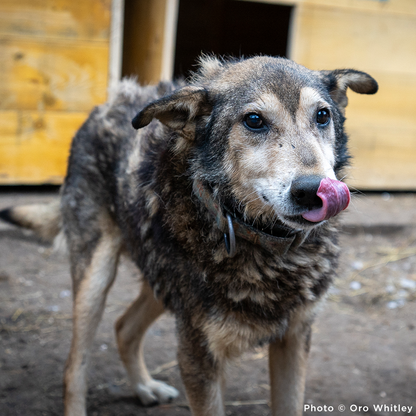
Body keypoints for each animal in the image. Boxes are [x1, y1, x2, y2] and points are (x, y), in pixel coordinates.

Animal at [0, 55, 376, 416]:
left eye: (322, 116)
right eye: (254, 120)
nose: (313, 190)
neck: (263, 244)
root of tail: (106, 103)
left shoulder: (295, 339)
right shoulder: (197, 354)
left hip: (163, 280)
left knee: (123, 326)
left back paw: (145, 387)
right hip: (98, 276)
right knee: (73, 369)